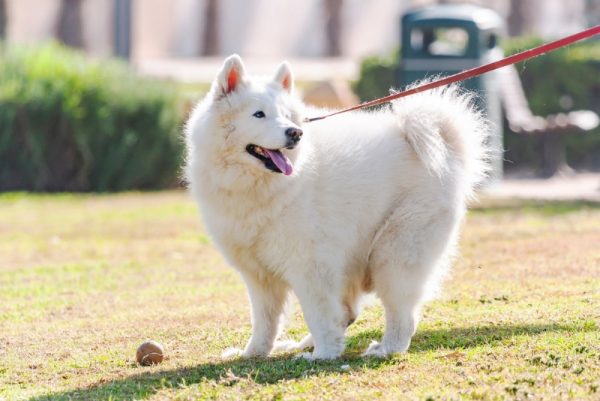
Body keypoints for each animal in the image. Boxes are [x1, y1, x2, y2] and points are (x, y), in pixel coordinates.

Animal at [185, 54, 490, 360]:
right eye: (259, 114)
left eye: (287, 116)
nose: (295, 132)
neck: (260, 186)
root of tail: (443, 142)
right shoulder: (259, 275)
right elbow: (265, 321)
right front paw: (254, 353)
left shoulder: (311, 266)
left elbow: (318, 314)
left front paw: (325, 354)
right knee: (348, 312)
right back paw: (304, 343)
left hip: (394, 254)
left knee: (401, 316)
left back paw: (384, 349)